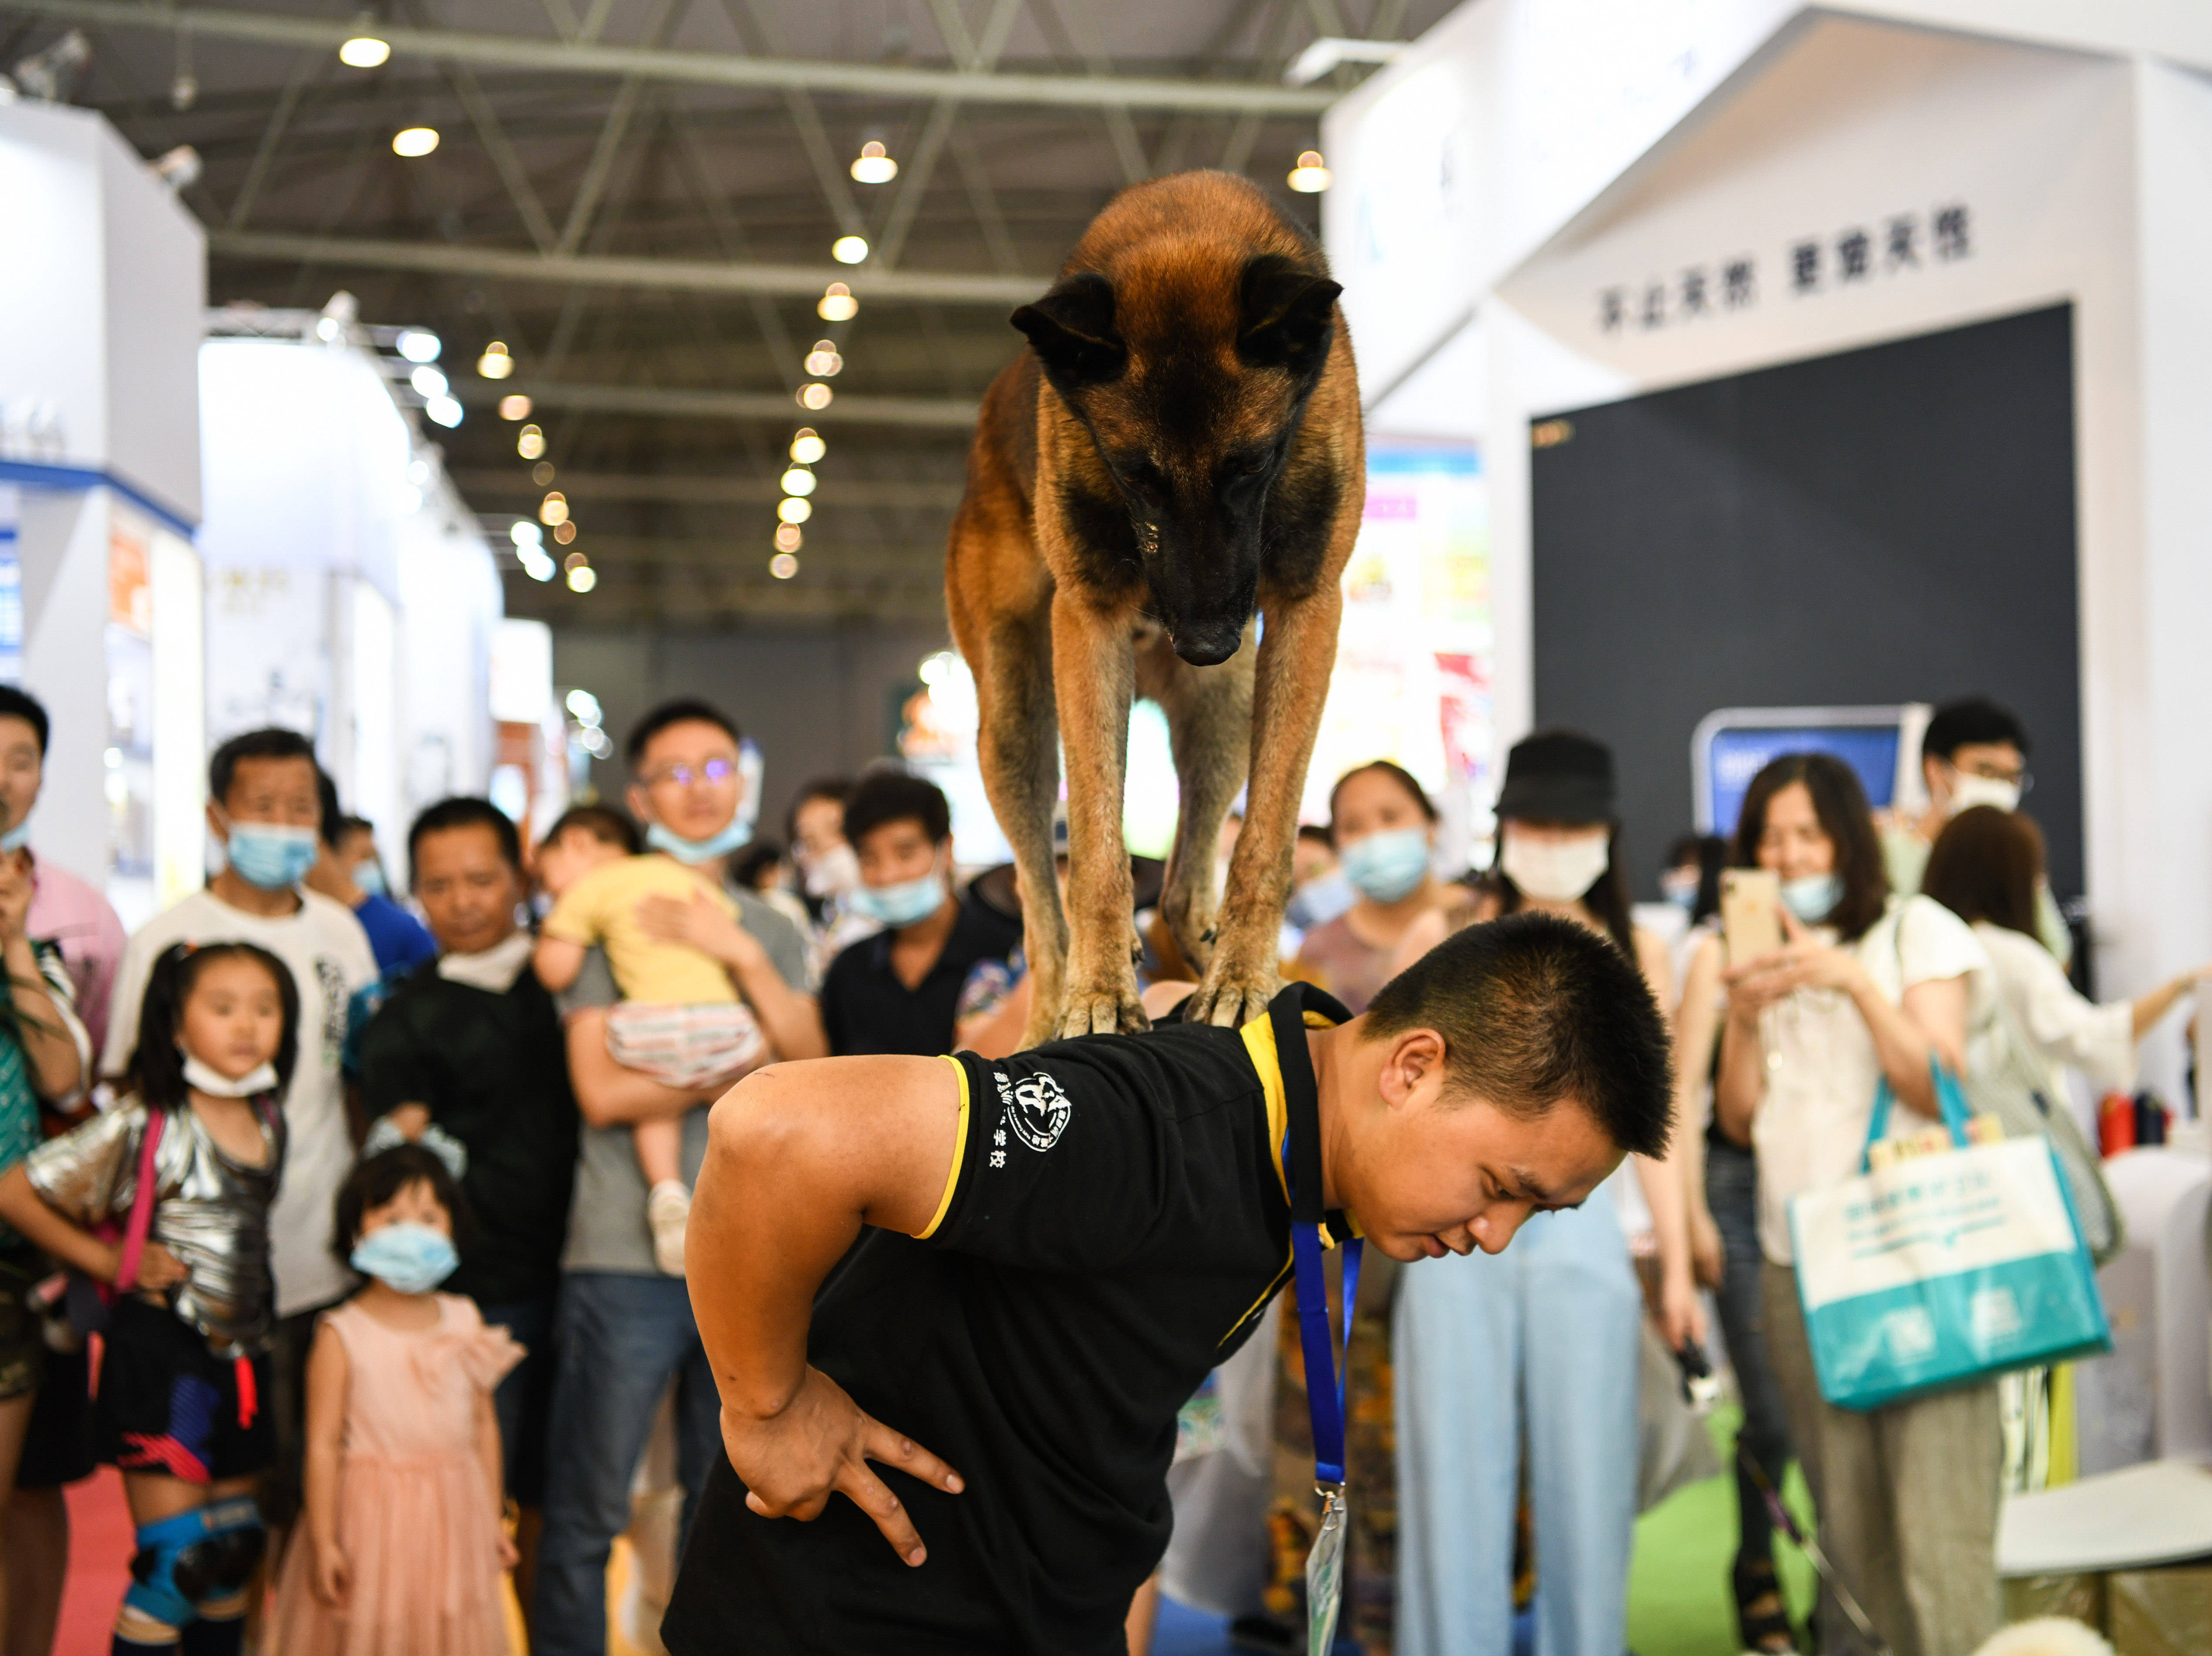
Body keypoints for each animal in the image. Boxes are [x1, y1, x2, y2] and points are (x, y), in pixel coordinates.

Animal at [951, 171, 1363, 1048]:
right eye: (1135, 472)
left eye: (1250, 464)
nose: (1202, 642)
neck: (1184, 221)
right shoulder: (1089, 623)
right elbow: (1095, 858)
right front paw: (1100, 994)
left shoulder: (1307, 608)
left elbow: (1265, 837)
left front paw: (1242, 979)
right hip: (1015, 723)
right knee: (1041, 908)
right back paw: (1050, 1012)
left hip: (1227, 709)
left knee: (1180, 883)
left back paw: (1204, 951)